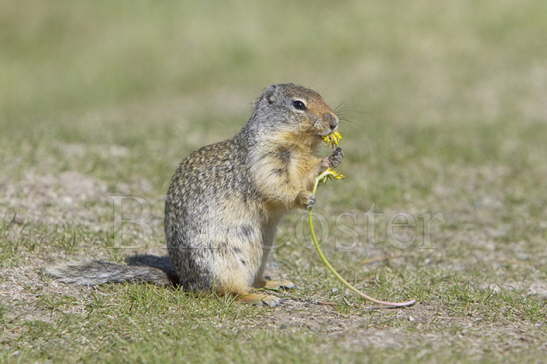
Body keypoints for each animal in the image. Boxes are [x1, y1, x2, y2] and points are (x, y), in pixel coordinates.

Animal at [48, 84, 346, 306]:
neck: (295, 146)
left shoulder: (299, 161)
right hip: (222, 262)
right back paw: (257, 297)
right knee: (226, 291)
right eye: (299, 104)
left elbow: (308, 171)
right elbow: (278, 187)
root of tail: (184, 282)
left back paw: (276, 282)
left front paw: (331, 159)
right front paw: (304, 198)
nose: (334, 121)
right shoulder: (264, 161)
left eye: (321, 95)